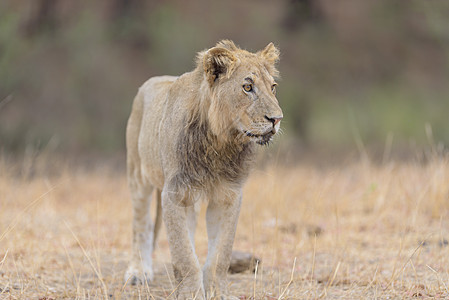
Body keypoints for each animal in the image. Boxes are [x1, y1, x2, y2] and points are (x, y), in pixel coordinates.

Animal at [124, 40, 282, 300]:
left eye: (273, 87)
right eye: (247, 87)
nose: (277, 119)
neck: (221, 143)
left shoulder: (228, 196)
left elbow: (220, 255)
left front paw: (217, 291)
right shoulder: (174, 194)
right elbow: (184, 254)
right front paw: (191, 293)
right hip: (138, 176)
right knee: (141, 226)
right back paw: (138, 271)